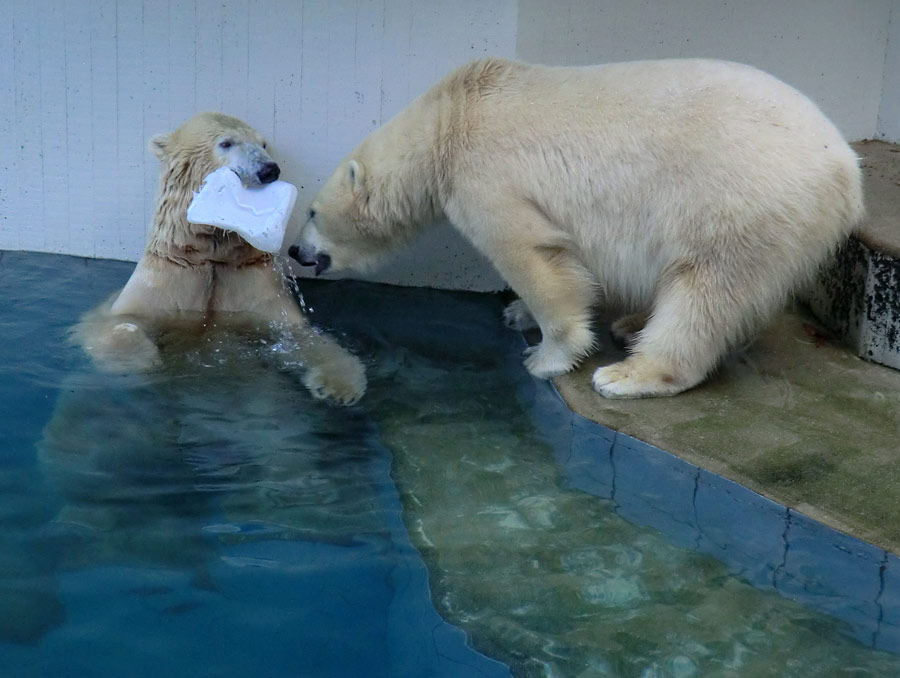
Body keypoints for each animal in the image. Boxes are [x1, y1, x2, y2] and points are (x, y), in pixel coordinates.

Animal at [74, 114, 366, 406]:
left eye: (263, 144)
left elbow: (297, 335)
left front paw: (339, 387)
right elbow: (121, 322)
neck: (211, 257)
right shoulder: (166, 280)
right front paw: (139, 361)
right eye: (226, 143)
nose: (269, 170)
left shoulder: (252, 284)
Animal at [292, 58, 860, 402]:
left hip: (737, 202)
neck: (449, 119)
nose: (297, 250)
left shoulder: (486, 175)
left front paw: (546, 355)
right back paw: (632, 323)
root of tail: (847, 173)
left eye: (313, 212)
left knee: (706, 290)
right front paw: (517, 314)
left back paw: (628, 373)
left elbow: (529, 252)